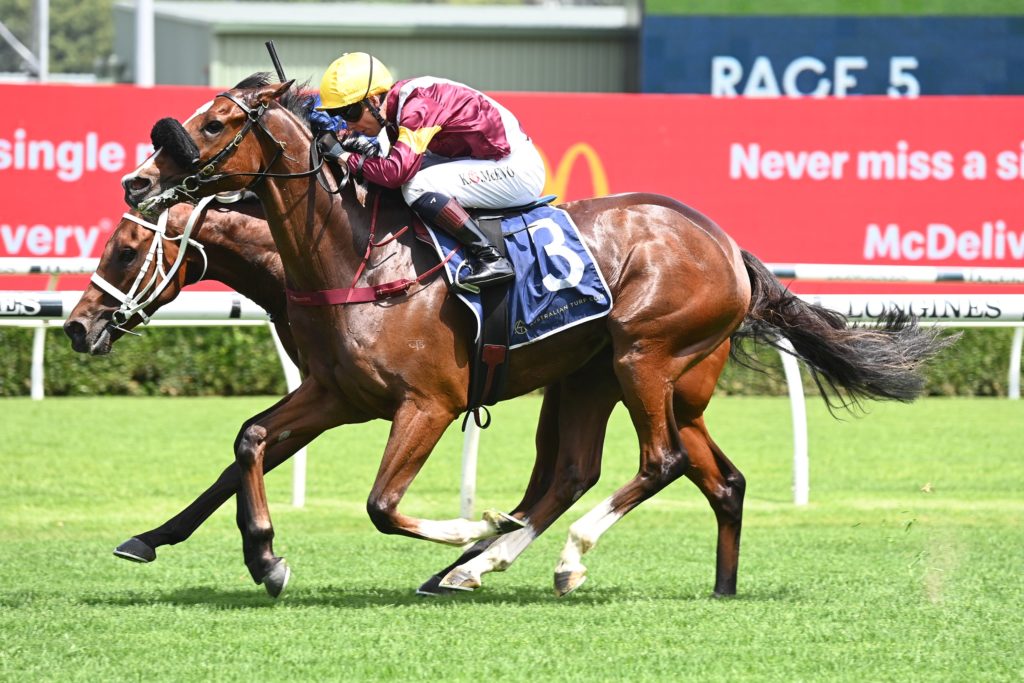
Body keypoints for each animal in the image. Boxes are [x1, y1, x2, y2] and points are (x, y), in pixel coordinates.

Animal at [119, 75, 950, 598]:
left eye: (215, 124)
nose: (137, 181)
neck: (357, 256)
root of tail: (724, 243)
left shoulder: (428, 402)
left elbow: (382, 503)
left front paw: (470, 527)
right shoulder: (338, 392)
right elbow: (253, 439)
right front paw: (257, 553)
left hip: (645, 357)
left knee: (661, 460)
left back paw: (554, 558)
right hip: (612, 377)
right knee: (640, 473)